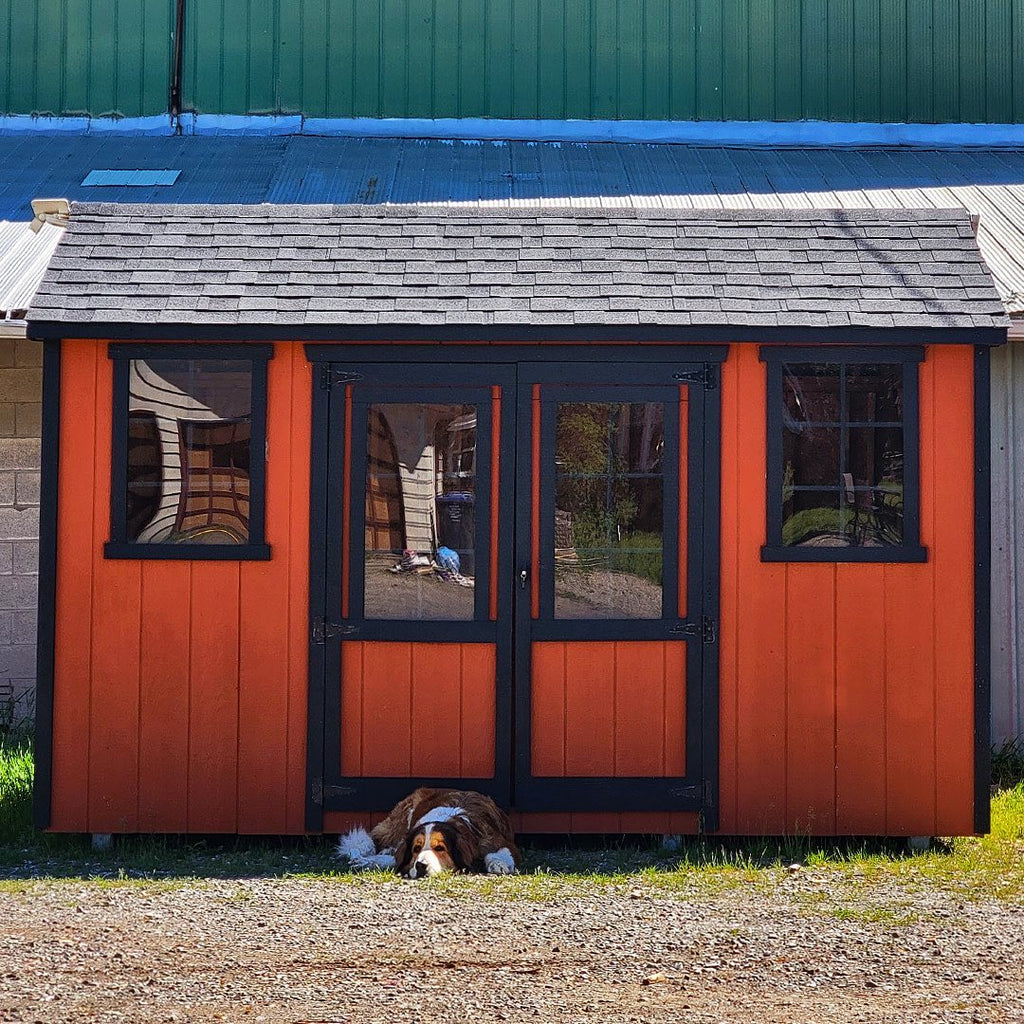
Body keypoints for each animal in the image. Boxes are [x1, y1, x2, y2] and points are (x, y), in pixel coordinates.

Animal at [337, 786, 520, 876]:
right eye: (416, 849)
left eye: (440, 848)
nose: (420, 866)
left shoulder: (500, 841)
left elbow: (498, 852)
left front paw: (499, 864)